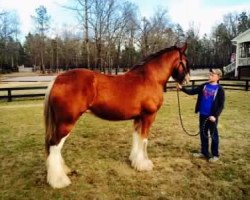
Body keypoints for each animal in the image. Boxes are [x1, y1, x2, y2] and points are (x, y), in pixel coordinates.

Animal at [44, 43, 189, 188]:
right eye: (186, 61)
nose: (186, 81)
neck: (151, 78)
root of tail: (58, 79)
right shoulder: (148, 117)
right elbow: (144, 140)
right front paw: (144, 165)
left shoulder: (138, 118)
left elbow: (136, 138)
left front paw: (135, 161)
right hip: (66, 122)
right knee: (55, 145)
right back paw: (59, 180)